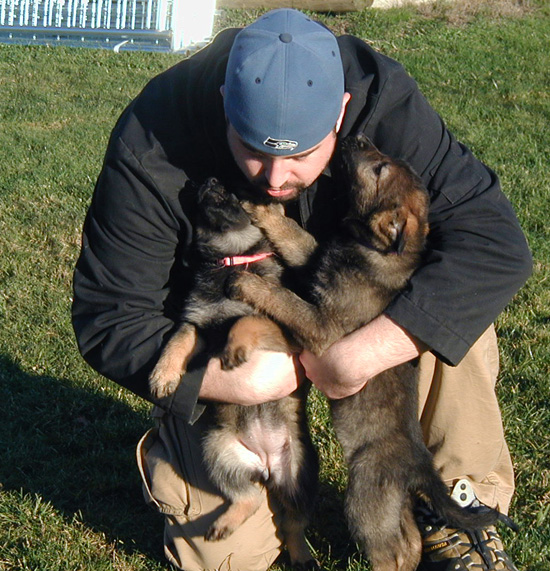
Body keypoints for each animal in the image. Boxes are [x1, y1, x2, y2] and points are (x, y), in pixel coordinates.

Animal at [149, 178, 322, 568]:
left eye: (237, 186)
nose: (209, 181)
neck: (233, 258)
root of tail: (267, 464)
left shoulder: (285, 332)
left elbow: (246, 320)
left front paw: (234, 348)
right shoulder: (197, 323)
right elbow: (178, 338)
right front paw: (163, 375)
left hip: (301, 474)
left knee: (293, 523)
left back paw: (302, 556)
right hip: (219, 454)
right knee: (250, 498)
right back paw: (224, 525)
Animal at [230, 137, 500, 571]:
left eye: (379, 169)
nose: (357, 138)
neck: (369, 249)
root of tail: (420, 463)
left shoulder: (321, 326)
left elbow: (283, 298)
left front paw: (248, 283)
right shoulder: (312, 257)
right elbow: (292, 235)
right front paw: (263, 210)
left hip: (365, 496)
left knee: (392, 550)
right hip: (386, 503)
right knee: (408, 542)